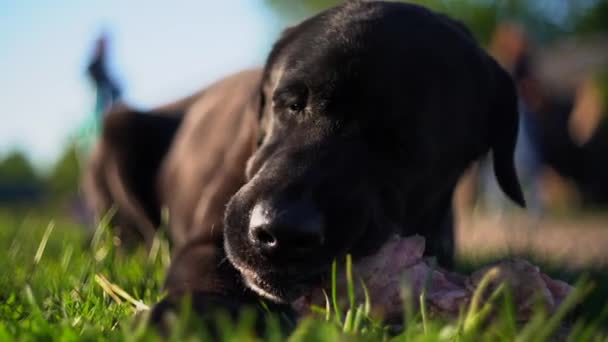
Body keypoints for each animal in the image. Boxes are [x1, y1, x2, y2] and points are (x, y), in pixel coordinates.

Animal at [84, 0, 524, 326]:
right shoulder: (209, 236)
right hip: (118, 129)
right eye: (292, 103)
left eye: (404, 144)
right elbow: (206, 269)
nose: (281, 231)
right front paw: (192, 315)